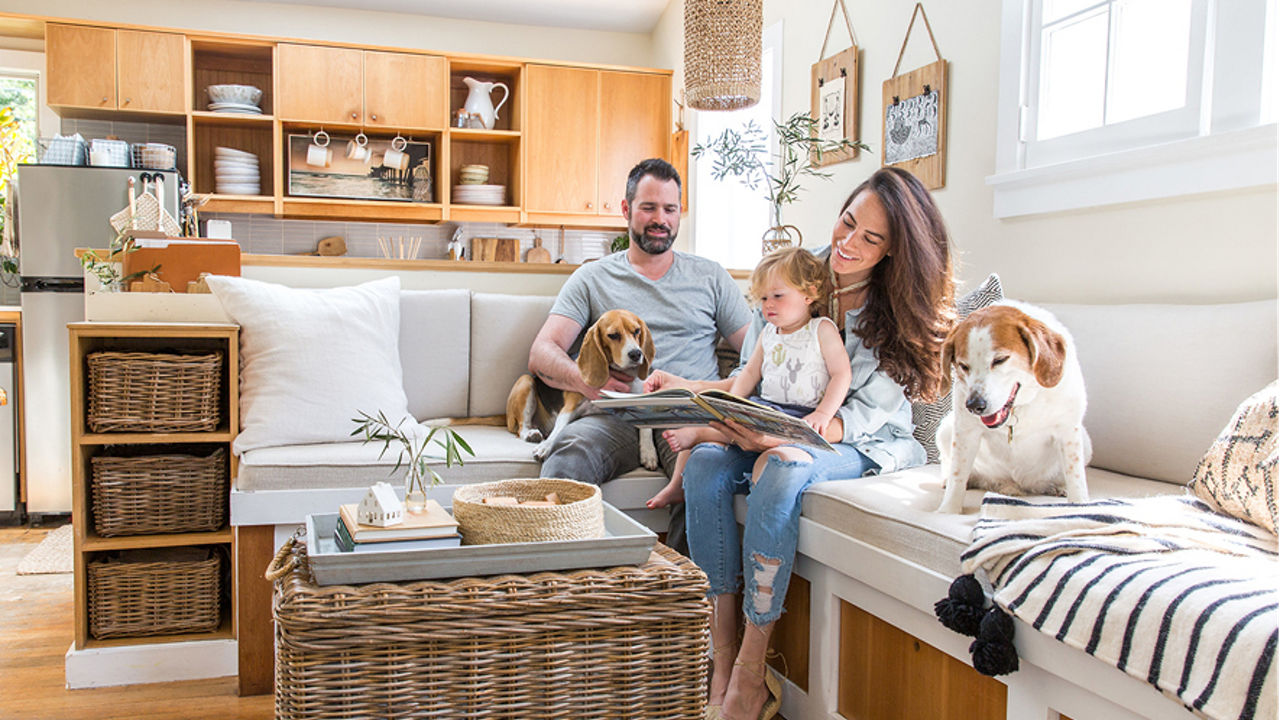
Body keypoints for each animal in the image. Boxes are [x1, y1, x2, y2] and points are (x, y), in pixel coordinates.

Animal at [504, 307, 660, 466]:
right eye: (613, 335)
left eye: (637, 331)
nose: (636, 354)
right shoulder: (569, 407)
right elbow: (559, 429)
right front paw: (546, 446)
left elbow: (647, 427)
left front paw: (648, 452)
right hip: (526, 381)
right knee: (521, 427)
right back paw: (531, 434)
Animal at [931, 299, 1090, 512]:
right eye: (963, 366)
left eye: (999, 360)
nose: (974, 405)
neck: (1020, 407)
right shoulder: (965, 431)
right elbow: (958, 474)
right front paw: (948, 510)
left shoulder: (1068, 430)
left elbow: (1075, 475)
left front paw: (1079, 504)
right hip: (946, 428)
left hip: (1085, 440)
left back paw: (1057, 486)